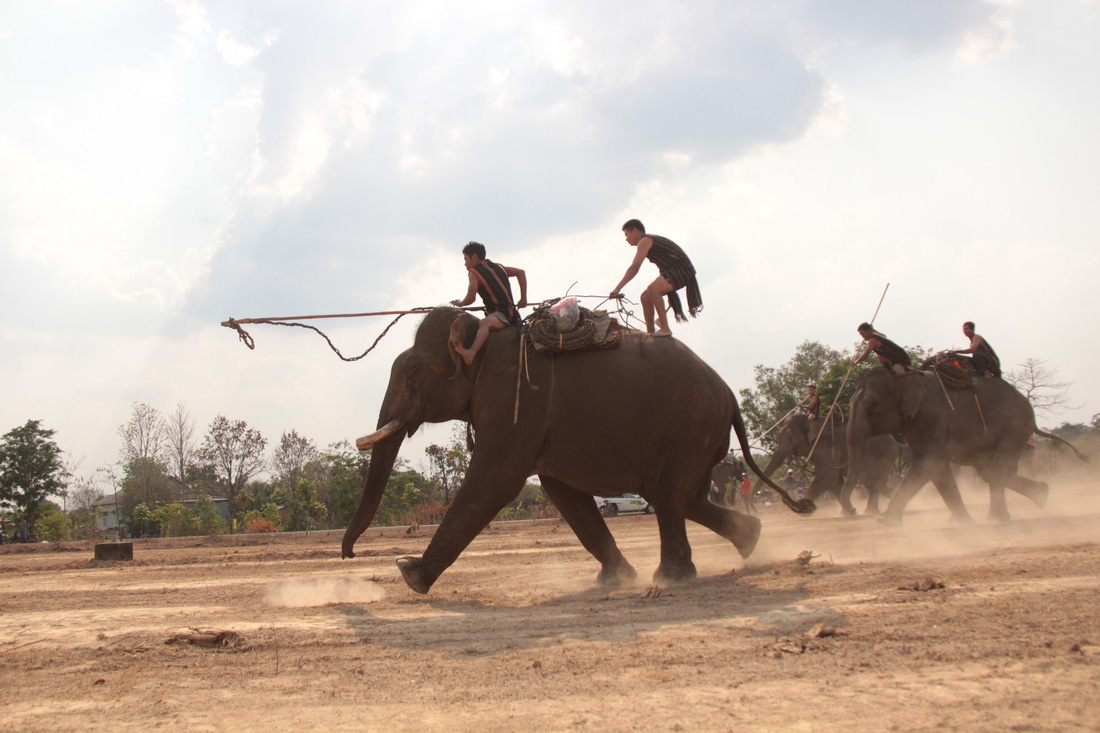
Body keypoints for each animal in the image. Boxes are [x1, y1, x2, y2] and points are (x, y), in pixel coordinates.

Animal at [343, 305, 818, 589]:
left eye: (412, 372)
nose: (348, 554)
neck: (483, 340)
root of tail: (731, 396)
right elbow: (561, 490)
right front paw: (614, 580)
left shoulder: (517, 402)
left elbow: (496, 482)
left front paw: (409, 574)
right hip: (699, 438)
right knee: (686, 497)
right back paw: (750, 541)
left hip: (690, 426)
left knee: (669, 498)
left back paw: (672, 578)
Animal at [756, 411, 902, 512]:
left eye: (790, 438)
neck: (809, 419)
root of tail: (895, 441)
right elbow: (834, 480)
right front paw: (848, 513)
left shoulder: (828, 445)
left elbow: (828, 477)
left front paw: (804, 509)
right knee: (872, 483)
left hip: (885, 453)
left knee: (874, 481)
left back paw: (871, 512)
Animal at [840, 367, 1082, 521]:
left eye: (874, 408)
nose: (851, 510)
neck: (903, 377)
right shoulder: (915, 422)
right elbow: (936, 467)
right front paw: (961, 520)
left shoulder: (932, 416)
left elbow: (930, 463)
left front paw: (884, 520)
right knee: (989, 470)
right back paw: (1038, 497)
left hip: (1015, 426)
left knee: (997, 468)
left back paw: (1005, 515)